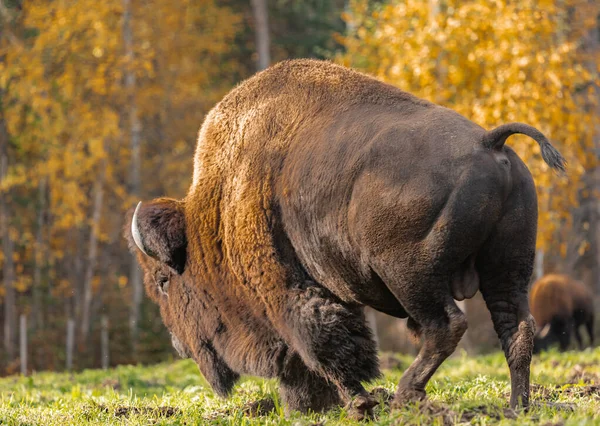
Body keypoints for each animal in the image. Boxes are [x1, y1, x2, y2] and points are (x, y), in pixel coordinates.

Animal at [124, 58, 564, 418]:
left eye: (163, 282)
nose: (178, 345)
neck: (218, 209)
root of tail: (489, 142)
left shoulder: (288, 290)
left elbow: (321, 345)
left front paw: (357, 402)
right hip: (507, 268)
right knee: (515, 330)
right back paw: (517, 407)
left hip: (408, 273)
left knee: (445, 325)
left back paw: (406, 395)